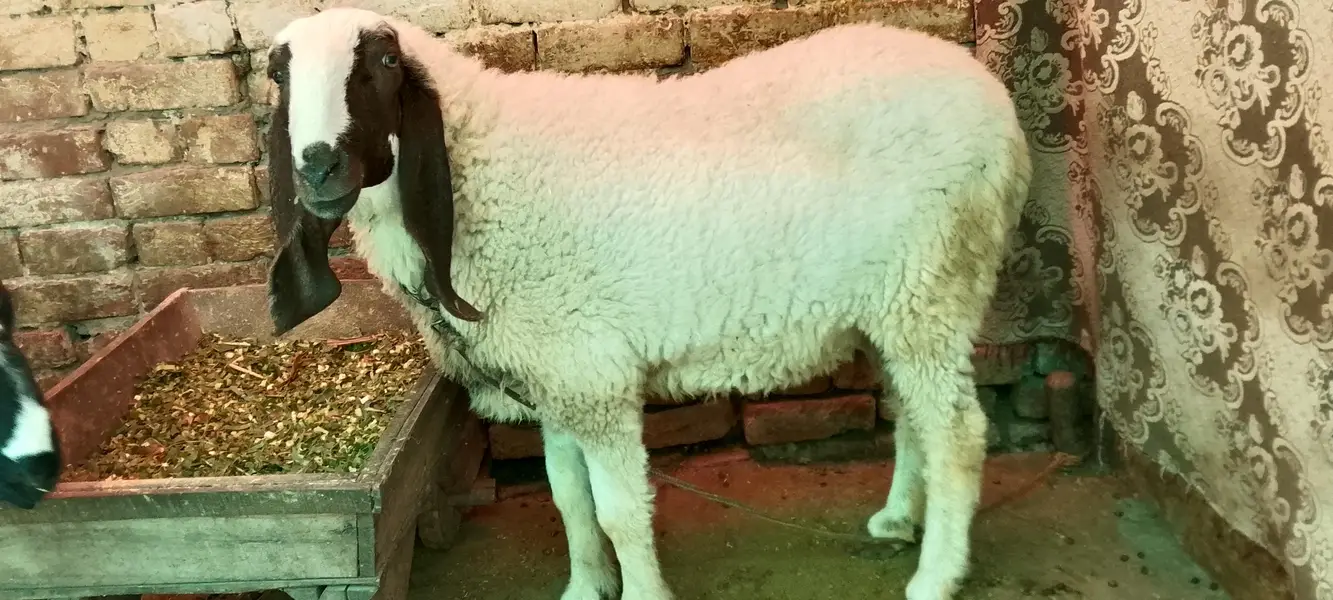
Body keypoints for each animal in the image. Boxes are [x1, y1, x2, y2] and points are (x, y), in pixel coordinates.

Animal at [263, 8, 1032, 600]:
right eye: (280, 75)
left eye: (385, 61)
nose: (319, 165)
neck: (483, 167)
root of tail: (996, 104)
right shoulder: (558, 372)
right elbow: (569, 501)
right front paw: (584, 587)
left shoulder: (593, 375)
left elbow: (619, 514)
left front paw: (638, 589)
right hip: (895, 305)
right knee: (913, 415)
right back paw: (899, 520)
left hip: (933, 286)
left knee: (958, 433)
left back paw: (934, 575)